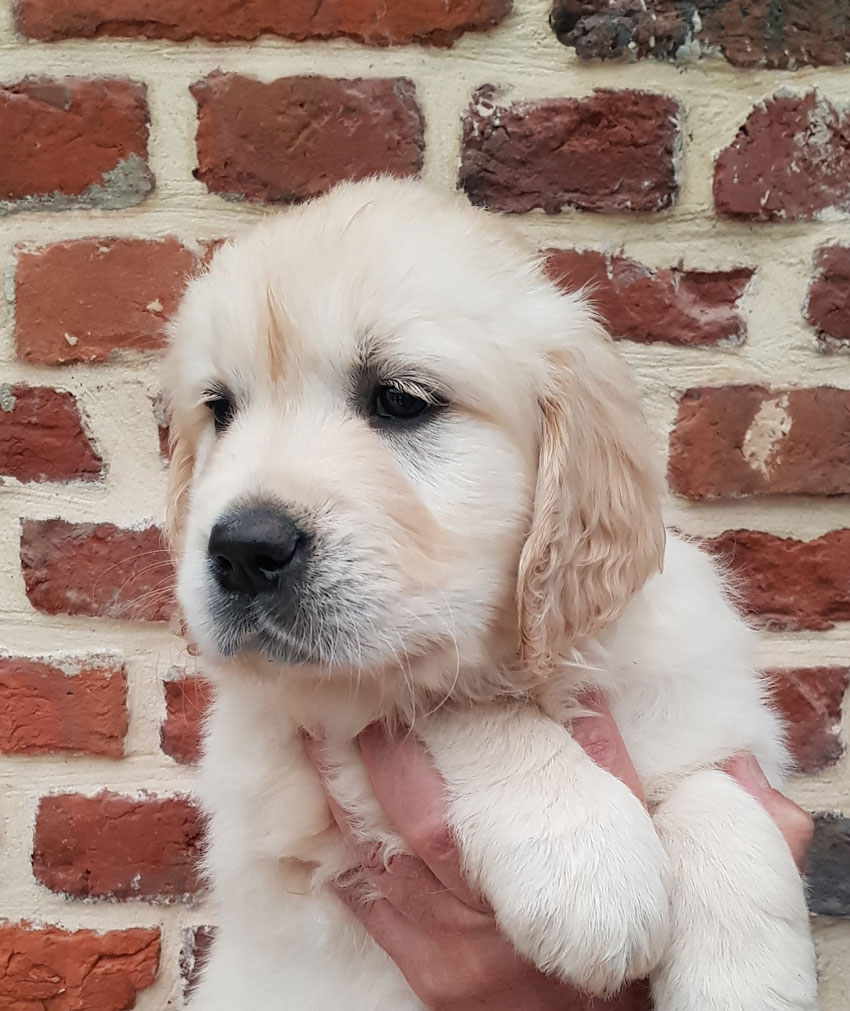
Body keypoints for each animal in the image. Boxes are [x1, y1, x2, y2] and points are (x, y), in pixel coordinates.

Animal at [162, 177, 820, 1006]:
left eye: (401, 400)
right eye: (220, 409)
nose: (243, 549)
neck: (529, 667)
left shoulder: (711, 710)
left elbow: (717, 787)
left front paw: (742, 973)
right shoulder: (314, 737)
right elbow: (454, 706)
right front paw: (590, 865)